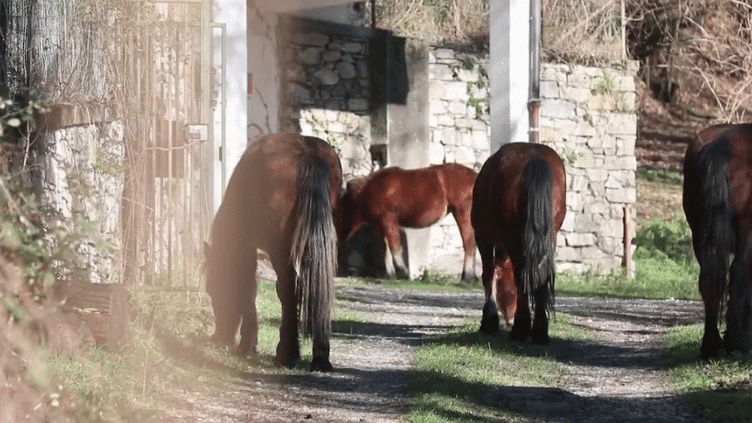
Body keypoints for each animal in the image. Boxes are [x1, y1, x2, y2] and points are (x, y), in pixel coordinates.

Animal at [201, 132, 340, 372]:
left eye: (213, 289)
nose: (220, 337)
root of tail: (307, 152)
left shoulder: (247, 248)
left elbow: (248, 288)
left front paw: (247, 346)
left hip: (280, 248)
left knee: (288, 290)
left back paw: (286, 354)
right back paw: (320, 357)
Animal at [340, 164, 478, 284]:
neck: (368, 191)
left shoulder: (388, 221)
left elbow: (395, 247)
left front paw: (402, 272)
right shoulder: (381, 226)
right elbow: (386, 250)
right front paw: (390, 274)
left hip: (462, 213)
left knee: (469, 244)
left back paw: (466, 278)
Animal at [472, 142, 568, 344]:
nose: (508, 318)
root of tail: (535, 158)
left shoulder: (483, 239)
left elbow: (488, 275)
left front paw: (489, 320)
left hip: (514, 239)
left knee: (521, 276)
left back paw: (520, 328)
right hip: (549, 237)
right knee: (540, 276)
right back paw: (539, 330)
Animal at [680, 124, 752, 360]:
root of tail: (723, 143)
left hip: (700, 235)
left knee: (708, 280)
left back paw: (710, 345)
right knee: (739, 274)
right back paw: (737, 342)